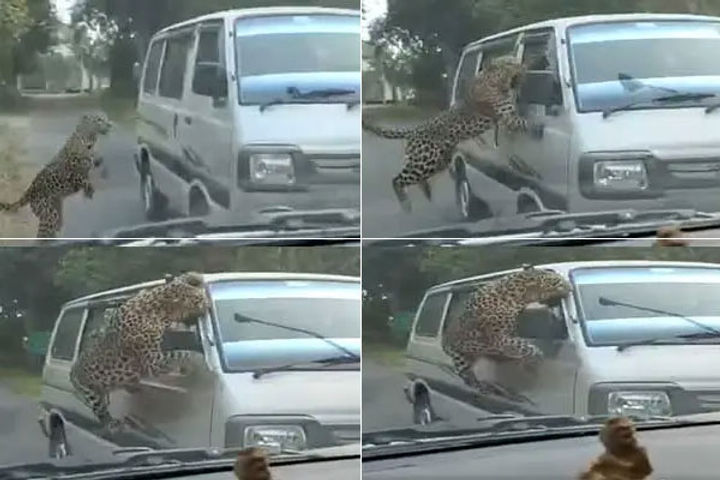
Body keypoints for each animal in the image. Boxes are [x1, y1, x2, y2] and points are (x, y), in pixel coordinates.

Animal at [69, 272, 210, 433]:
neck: (158, 309)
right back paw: (113, 425)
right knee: (100, 412)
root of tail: (71, 373)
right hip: (91, 394)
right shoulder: (153, 361)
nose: (209, 305)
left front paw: (194, 276)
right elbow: (179, 354)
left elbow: (177, 281)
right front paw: (196, 359)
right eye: (200, 299)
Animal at [362, 55, 544, 213]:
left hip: (437, 162)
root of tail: (415, 129)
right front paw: (538, 125)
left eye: (514, 61)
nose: (519, 65)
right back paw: (406, 204)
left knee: (418, 179)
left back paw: (427, 192)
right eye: (508, 63)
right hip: (424, 160)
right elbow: (524, 122)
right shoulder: (507, 117)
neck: (495, 80)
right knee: (397, 179)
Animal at [441, 265, 570, 403]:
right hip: (460, 359)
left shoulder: (508, 335)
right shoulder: (498, 338)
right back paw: (485, 388)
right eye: (558, 281)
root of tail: (444, 340)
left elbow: (521, 345)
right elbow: (526, 347)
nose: (571, 288)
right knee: (467, 377)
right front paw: (535, 362)